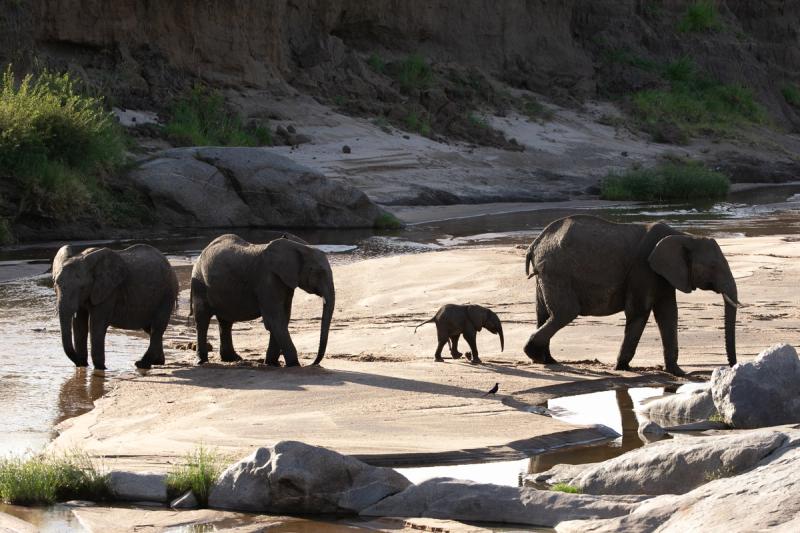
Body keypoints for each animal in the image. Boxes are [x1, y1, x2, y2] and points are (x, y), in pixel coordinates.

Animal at [190, 234, 335, 367]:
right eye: (319, 272)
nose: (313, 363)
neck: (298, 246)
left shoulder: (284, 282)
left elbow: (283, 318)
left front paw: (271, 363)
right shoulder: (267, 280)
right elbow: (275, 319)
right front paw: (294, 364)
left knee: (225, 322)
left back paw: (232, 359)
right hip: (199, 283)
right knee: (202, 319)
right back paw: (202, 361)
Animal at [524, 215, 740, 376]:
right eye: (713, 267)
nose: (733, 367)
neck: (685, 236)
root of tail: (535, 244)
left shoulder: (664, 273)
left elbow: (668, 313)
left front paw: (678, 373)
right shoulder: (643, 268)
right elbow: (639, 311)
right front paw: (621, 368)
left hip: (547, 273)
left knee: (543, 313)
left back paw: (548, 360)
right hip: (558, 271)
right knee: (565, 313)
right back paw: (534, 354)